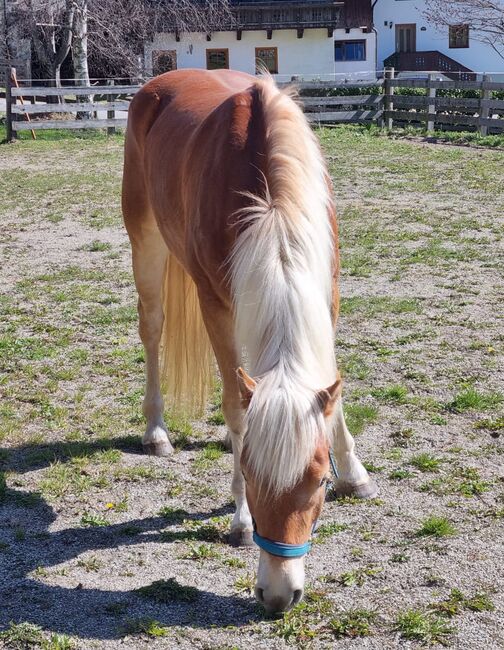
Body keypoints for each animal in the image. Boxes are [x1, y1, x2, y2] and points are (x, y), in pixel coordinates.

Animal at [121, 68, 374, 612]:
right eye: (255, 480)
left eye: (320, 480)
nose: (279, 596)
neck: (271, 205)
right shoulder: (215, 303)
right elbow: (237, 408)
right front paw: (238, 518)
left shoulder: (328, 292)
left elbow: (329, 392)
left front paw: (356, 473)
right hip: (147, 243)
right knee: (153, 329)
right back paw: (156, 431)